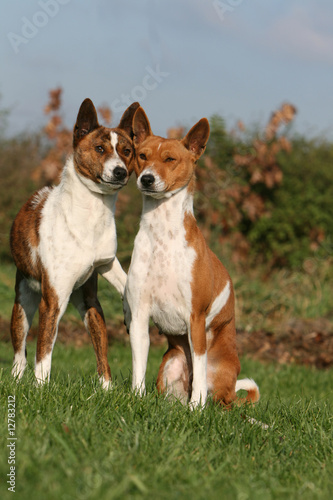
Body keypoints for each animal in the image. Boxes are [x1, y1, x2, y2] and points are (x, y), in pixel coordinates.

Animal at [9, 97, 138, 386]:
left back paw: (106, 387)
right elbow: (44, 350)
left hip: (88, 303)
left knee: (101, 350)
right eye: (100, 148)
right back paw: (17, 378)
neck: (92, 213)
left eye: (127, 151)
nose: (120, 172)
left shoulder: (106, 264)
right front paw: (41, 388)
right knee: (21, 350)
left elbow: (126, 284)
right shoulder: (53, 299)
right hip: (24, 302)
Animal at [122, 107, 260, 408]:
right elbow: (138, 365)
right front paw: (136, 397)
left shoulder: (195, 318)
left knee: (216, 396)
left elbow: (198, 368)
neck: (163, 236)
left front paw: (196, 408)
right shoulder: (138, 315)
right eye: (142, 156)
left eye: (169, 159)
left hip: (218, 372)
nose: (147, 179)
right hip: (170, 362)